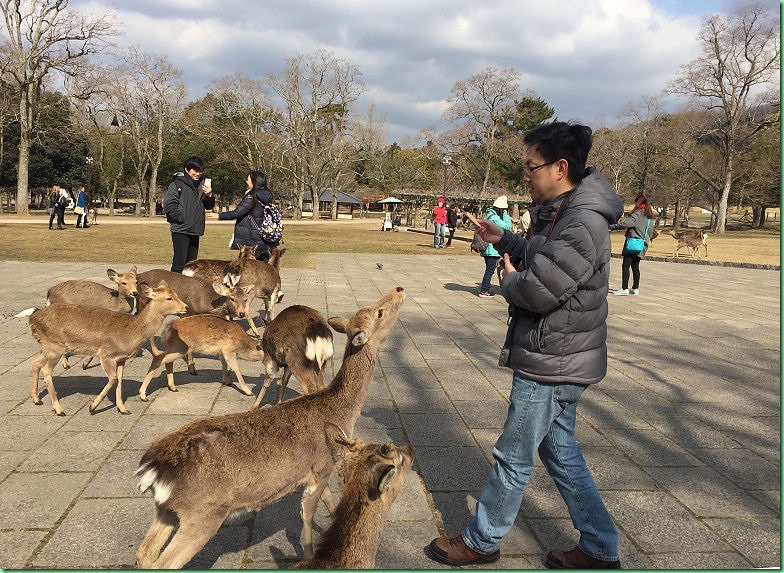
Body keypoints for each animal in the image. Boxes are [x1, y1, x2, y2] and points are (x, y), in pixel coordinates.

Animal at [28, 282, 188, 416]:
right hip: (54, 347)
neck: (132, 331)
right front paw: (92, 407)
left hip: (46, 346)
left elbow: (120, 380)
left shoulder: (122, 358)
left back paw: (36, 399)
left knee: (35, 360)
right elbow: (113, 379)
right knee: (46, 370)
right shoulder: (106, 354)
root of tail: (33, 318)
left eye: (176, 294)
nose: (185, 307)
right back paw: (59, 409)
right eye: (169, 298)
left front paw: (123, 409)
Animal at [138, 310, 266, 400]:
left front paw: (227, 381)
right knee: (159, 358)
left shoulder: (220, 351)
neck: (244, 345)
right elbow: (236, 368)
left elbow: (224, 364)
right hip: (180, 348)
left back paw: (173, 387)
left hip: (175, 348)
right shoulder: (228, 350)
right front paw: (248, 391)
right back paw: (143, 395)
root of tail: (167, 330)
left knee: (167, 361)